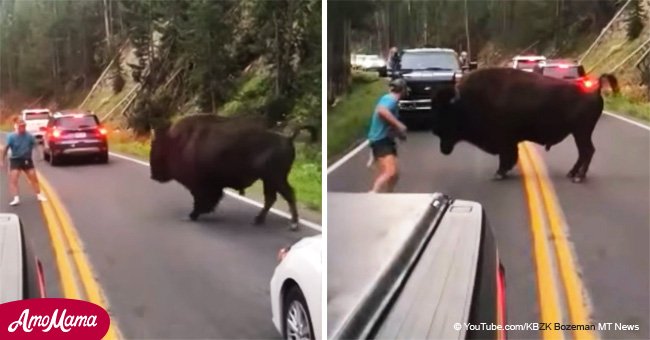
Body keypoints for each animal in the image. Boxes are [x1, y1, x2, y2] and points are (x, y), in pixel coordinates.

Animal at [150, 115, 316, 231]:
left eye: (158, 147)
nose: (153, 175)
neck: (179, 141)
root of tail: (288, 138)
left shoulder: (202, 186)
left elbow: (201, 200)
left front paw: (191, 215)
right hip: (269, 180)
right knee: (272, 198)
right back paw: (258, 220)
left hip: (276, 178)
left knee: (288, 194)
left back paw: (293, 225)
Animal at [430, 67, 616, 183]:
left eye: (446, 111)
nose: (434, 129)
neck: (468, 100)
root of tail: (595, 89)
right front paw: (502, 172)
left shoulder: (504, 140)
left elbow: (506, 156)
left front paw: (499, 174)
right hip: (579, 133)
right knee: (584, 152)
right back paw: (571, 173)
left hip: (581, 132)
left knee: (587, 151)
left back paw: (578, 177)